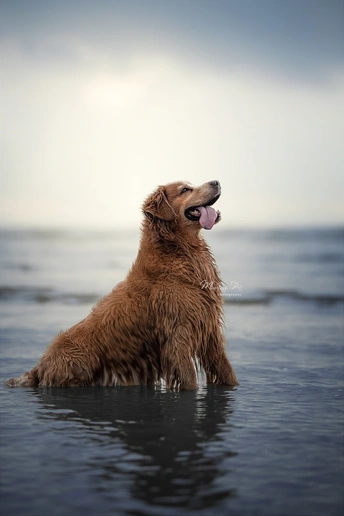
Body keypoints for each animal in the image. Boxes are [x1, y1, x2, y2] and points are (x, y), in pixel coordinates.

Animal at [5, 180, 238, 388]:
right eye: (185, 189)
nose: (216, 181)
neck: (178, 250)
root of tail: (38, 367)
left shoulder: (209, 328)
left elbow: (225, 369)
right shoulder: (177, 335)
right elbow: (189, 379)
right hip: (80, 360)